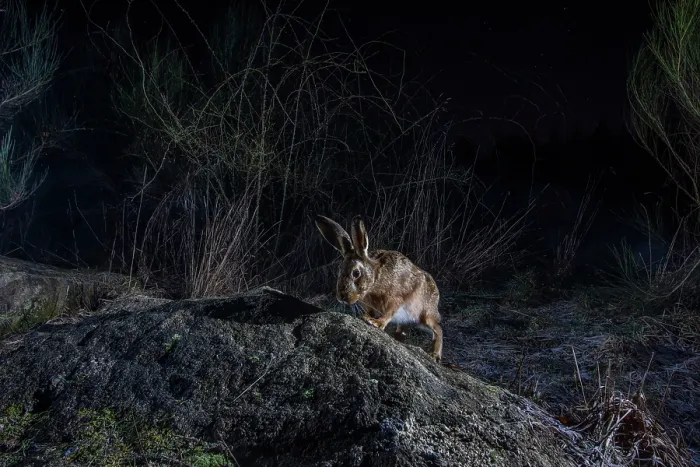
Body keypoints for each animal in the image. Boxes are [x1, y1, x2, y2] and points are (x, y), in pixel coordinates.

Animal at [315, 214, 443, 361]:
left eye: (356, 273)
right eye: (340, 270)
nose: (341, 297)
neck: (374, 279)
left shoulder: (395, 300)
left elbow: (388, 313)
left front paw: (376, 323)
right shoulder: (369, 305)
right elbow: (371, 312)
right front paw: (366, 317)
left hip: (424, 315)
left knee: (438, 329)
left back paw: (434, 355)